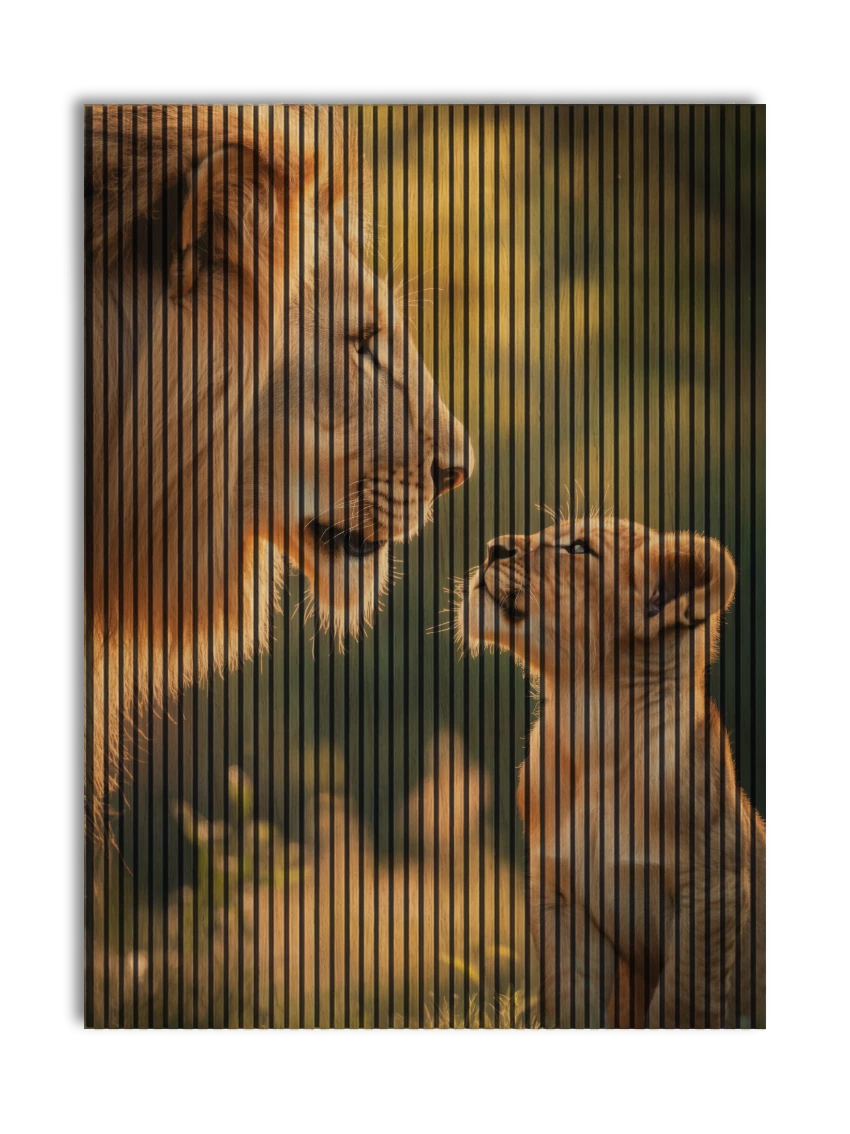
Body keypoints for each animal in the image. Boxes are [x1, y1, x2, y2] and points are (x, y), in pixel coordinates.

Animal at [454, 516, 766, 1029]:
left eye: (579, 548)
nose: (492, 548)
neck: (593, 738)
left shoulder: (713, 893)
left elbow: (678, 1004)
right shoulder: (558, 894)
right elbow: (571, 1003)